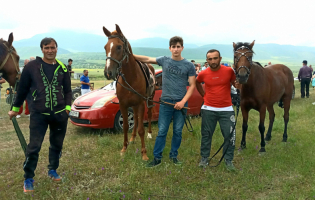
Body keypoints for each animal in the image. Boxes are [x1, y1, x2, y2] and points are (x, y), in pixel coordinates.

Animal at [103, 24, 156, 160]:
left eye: (119, 47)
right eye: (105, 47)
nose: (108, 72)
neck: (131, 77)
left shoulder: (141, 103)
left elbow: (141, 129)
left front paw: (144, 153)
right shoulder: (123, 104)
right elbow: (126, 126)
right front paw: (124, 149)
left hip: (149, 100)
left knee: (148, 115)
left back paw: (149, 134)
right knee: (136, 119)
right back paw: (132, 138)